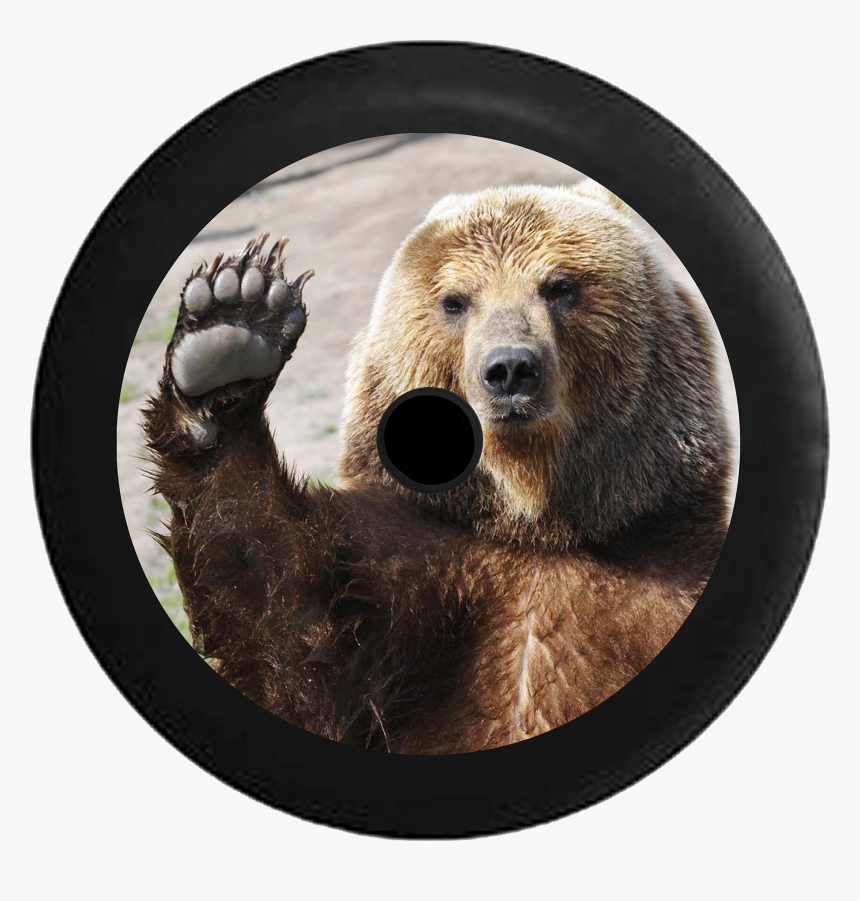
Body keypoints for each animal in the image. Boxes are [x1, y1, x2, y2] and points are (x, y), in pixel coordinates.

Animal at [144, 182, 731, 754]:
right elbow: (286, 626)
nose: (511, 369)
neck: (536, 522)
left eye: (560, 286)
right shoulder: (407, 579)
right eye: (455, 300)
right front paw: (231, 329)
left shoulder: (662, 579)